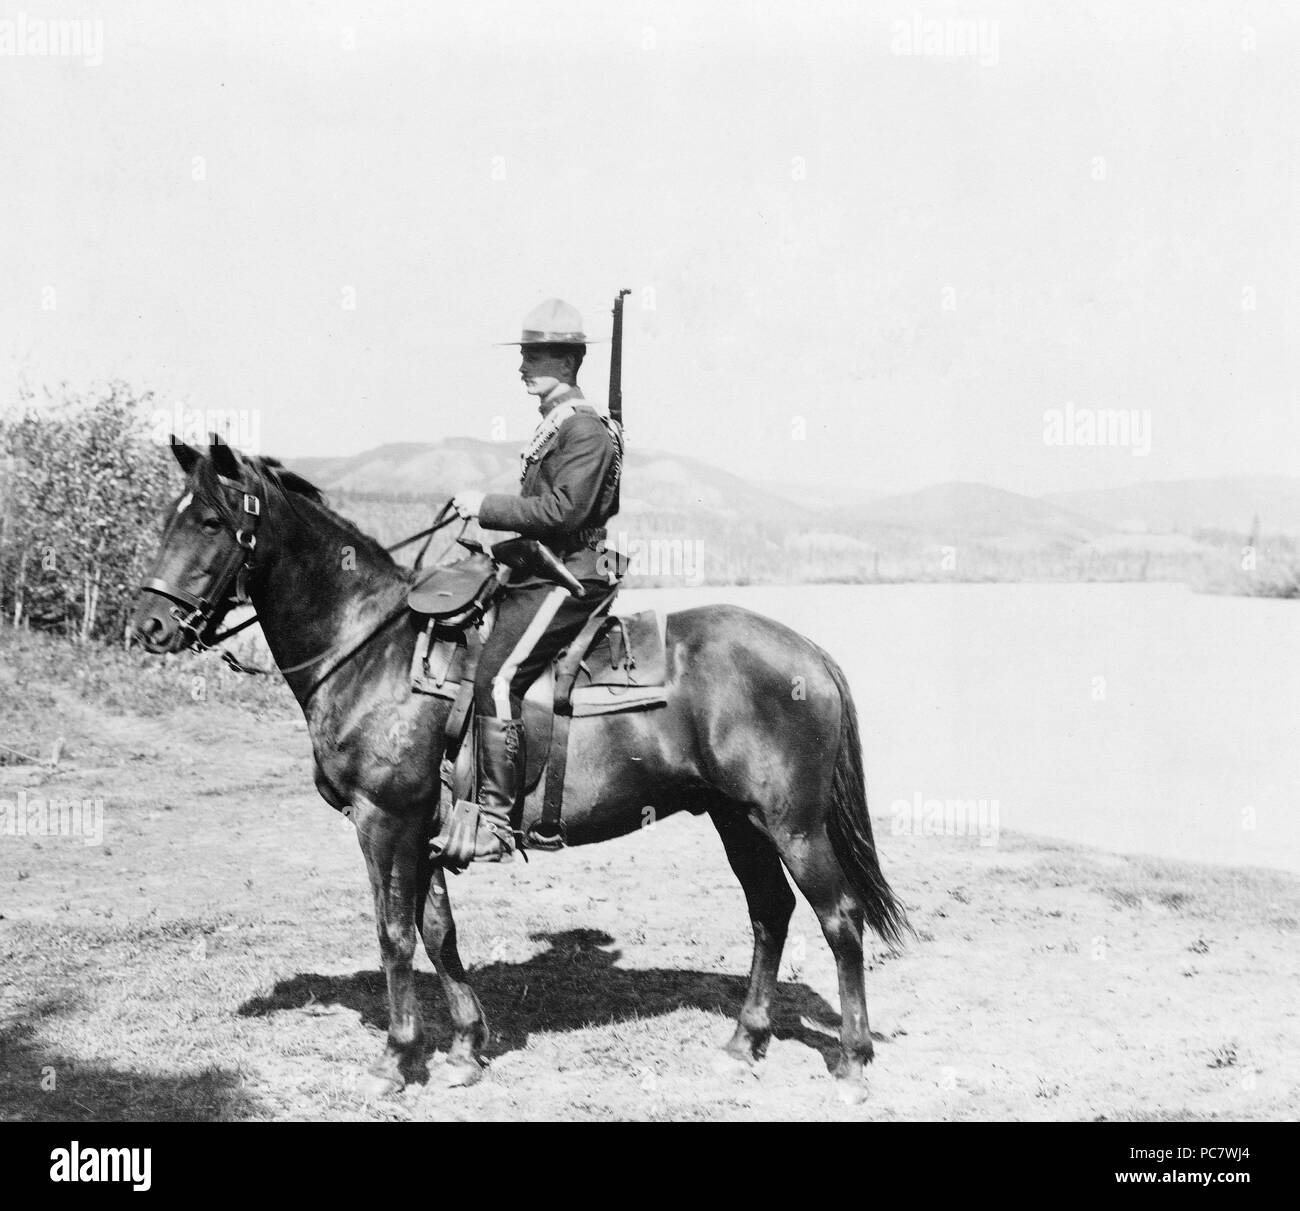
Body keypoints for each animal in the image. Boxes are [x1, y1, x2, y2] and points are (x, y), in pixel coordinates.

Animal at [131, 437, 909, 1103]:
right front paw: (465, 1048)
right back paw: (745, 1042)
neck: (374, 651)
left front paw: (395, 1059)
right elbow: (438, 930)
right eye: (170, 517)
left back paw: (853, 1062)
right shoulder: (423, 831)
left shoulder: (383, 821)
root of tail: (806, 653)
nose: (150, 627)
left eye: (209, 520)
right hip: (735, 818)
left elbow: (393, 934)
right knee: (769, 912)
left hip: (791, 824)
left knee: (838, 919)